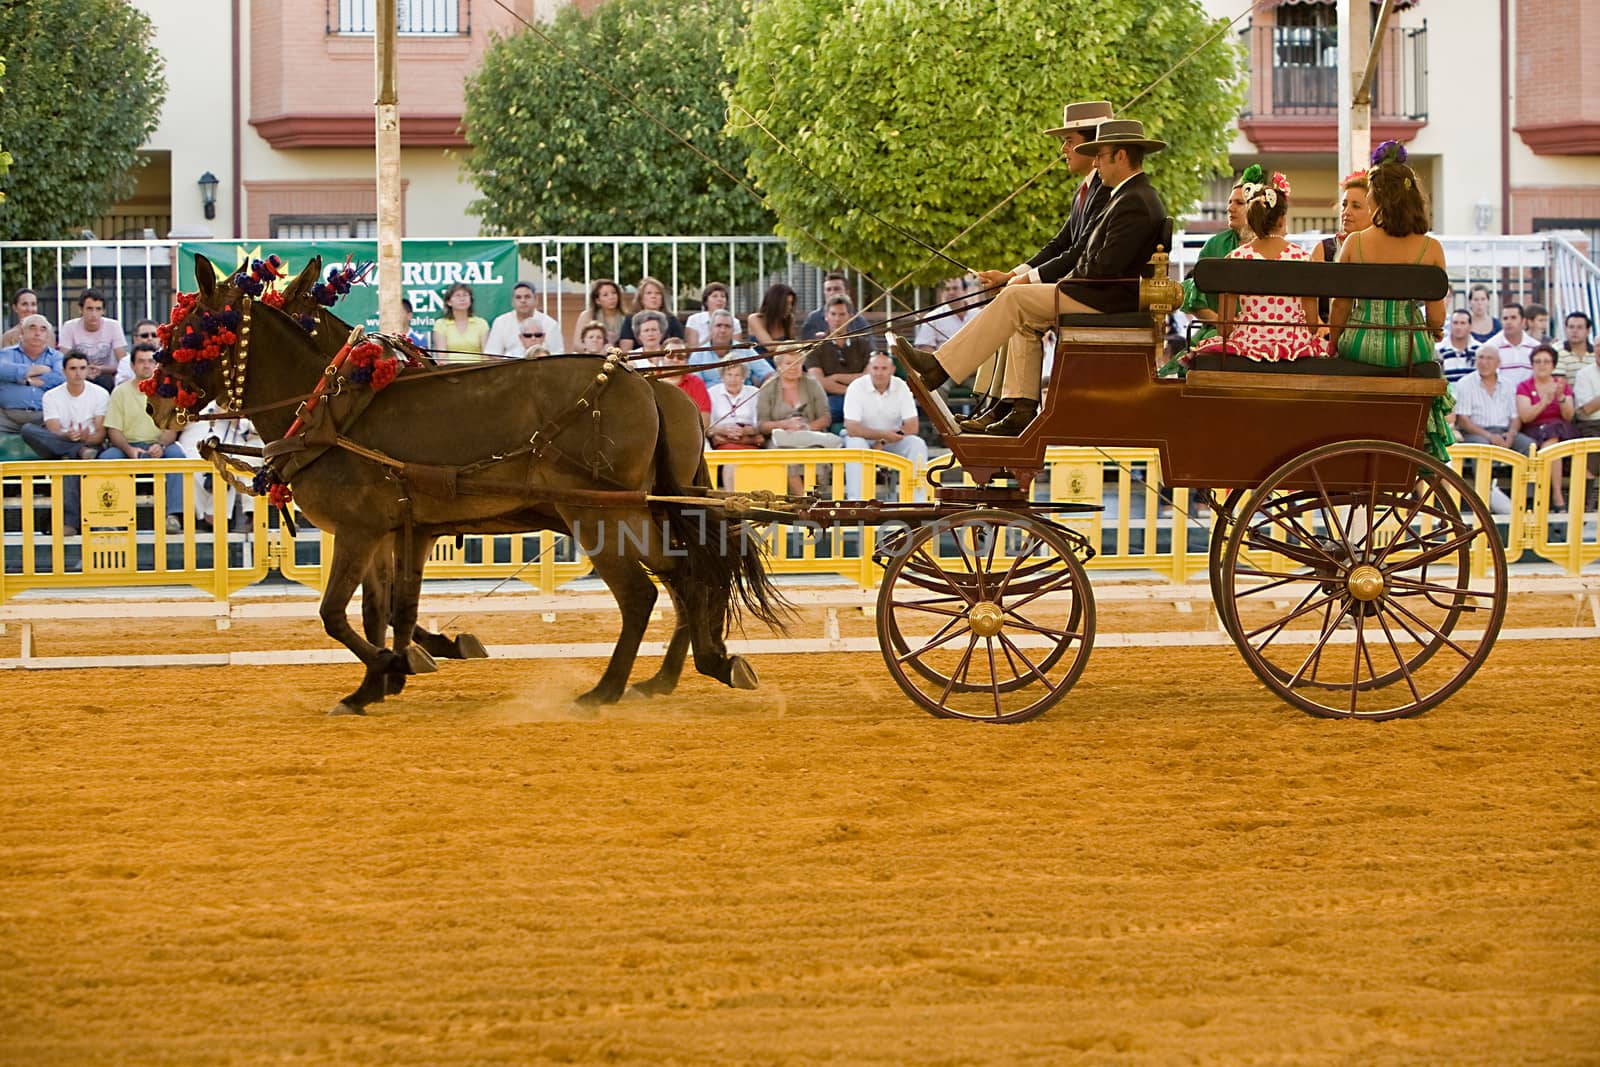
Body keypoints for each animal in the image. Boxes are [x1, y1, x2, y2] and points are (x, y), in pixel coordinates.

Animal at [152, 254, 784, 713]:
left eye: (192, 328)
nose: (155, 400)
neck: (332, 405)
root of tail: (643, 384)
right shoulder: (399, 532)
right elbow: (388, 611)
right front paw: (389, 675)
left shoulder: (360, 531)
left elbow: (337, 614)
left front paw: (387, 670)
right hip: (639, 513)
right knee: (686, 575)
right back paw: (691, 668)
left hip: (600, 516)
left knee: (645, 593)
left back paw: (608, 689)